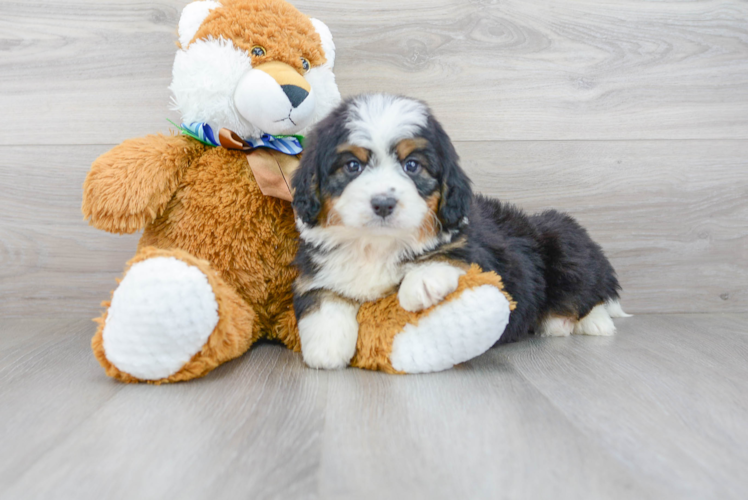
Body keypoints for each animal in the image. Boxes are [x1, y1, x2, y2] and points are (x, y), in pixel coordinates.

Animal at [290, 94, 624, 370]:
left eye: (412, 166)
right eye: (352, 166)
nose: (383, 203)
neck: (377, 245)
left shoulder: (483, 254)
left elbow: (453, 254)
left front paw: (423, 282)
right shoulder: (316, 269)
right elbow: (321, 297)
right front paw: (326, 346)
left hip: (563, 236)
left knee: (591, 290)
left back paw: (582, 323)